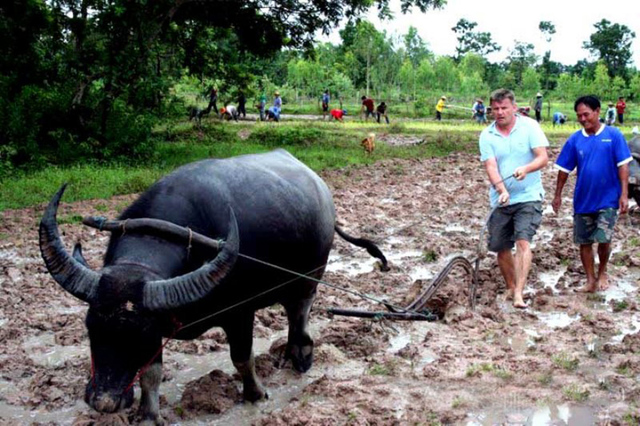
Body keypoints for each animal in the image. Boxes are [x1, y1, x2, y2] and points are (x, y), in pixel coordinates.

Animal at [41, 149, 390, 422]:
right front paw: (149, 415)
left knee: (300, 310)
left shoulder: (240, 313)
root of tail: (318, 184)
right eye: (91, 328)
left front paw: (255, 393)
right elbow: (152, 374)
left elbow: (242, 357)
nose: (104, 402)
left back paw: (300, 354)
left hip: (311, 273)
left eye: (139, 336)